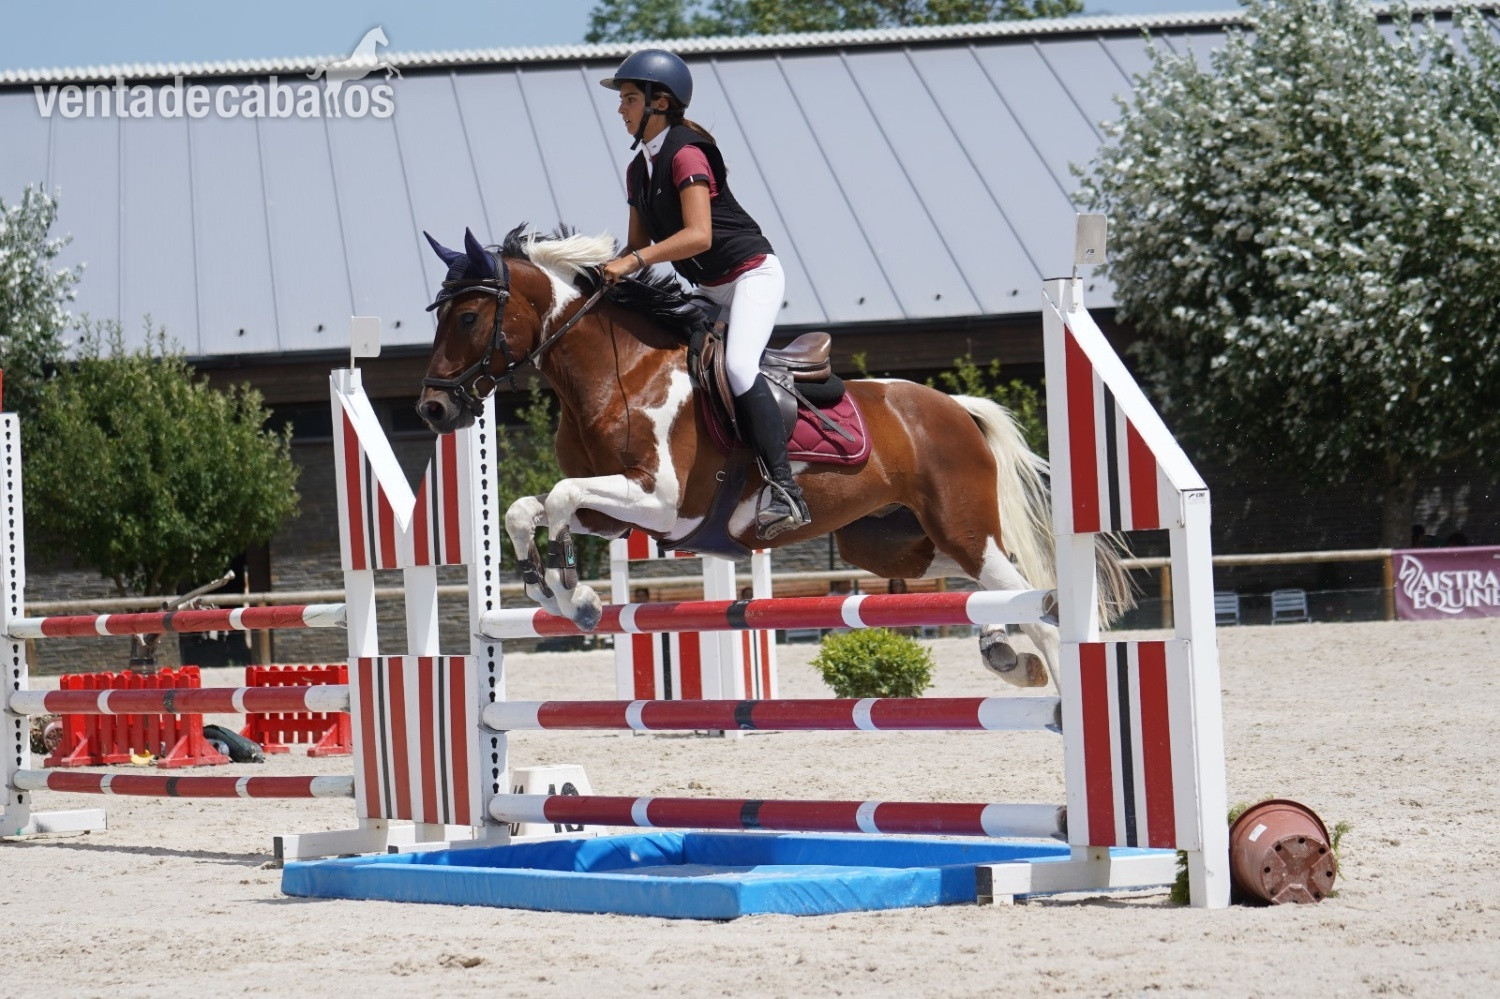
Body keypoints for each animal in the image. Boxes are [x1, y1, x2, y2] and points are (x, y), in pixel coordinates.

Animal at [416, 226, 1132, 690]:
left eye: (470, 317)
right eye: (439, 316)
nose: (434, 411)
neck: (621, 374)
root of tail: (952, 406)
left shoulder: (659, 501)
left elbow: (560, 499)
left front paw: (574, 593)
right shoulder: (623, 513)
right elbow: (524, 509)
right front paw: (559, 591)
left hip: (960, 526)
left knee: (1030, 601)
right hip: (896, 543)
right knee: (988, 586)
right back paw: (999, 648)